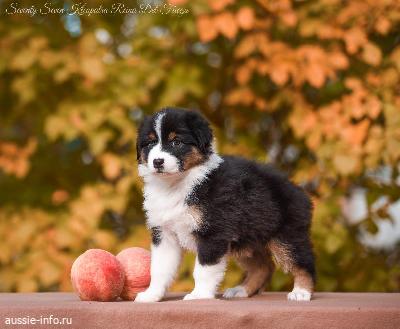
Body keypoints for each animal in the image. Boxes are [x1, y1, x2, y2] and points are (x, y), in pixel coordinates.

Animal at [134, 106, 316, 302]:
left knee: (303, 262)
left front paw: (199, 295)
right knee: (264, 266)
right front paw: (151, 295)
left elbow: (203, 270)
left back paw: (301, 292)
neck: (176, 185)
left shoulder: (213, 233)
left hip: (287, 236)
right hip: (246, 240)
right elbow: (159, 269)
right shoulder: (164, 234)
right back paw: (241, 290)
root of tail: (299, 191)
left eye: (176, 142)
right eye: (150, 143)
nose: (157, 162)